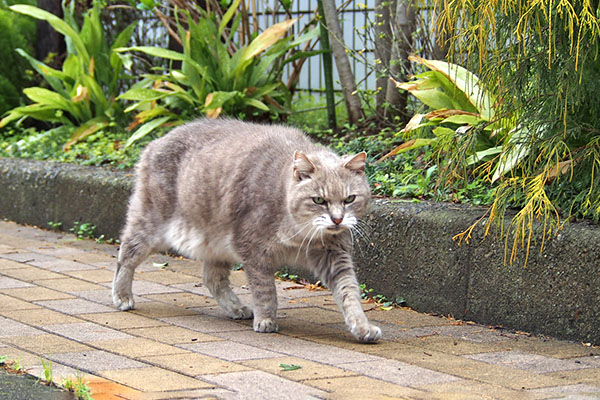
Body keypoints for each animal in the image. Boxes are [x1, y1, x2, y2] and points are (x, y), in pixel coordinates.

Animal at [112, 117, 382, 342]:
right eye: (319, 200)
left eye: (349, 199)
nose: (337, 220)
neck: (299, 233)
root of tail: (155, 141)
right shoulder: (252, 248)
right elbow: (265, 290)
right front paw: (266, 320)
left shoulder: (334, 255)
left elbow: (349, 292)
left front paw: (362, 327)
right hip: (151, 224)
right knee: (126, 255)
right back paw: (122, 296)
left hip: (215, 242)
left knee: (212, 278)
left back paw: (236, 308)